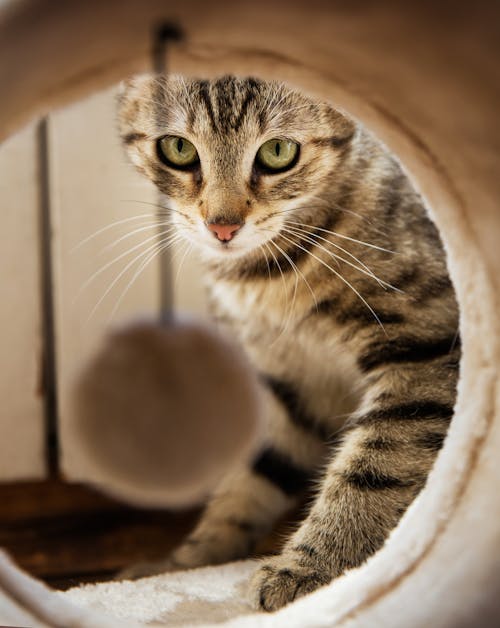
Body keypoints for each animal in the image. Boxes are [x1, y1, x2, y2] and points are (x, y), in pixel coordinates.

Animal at [116, 72, 458, 608]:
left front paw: (314, 571)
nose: (222, 226)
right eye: (177, 148)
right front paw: (186, 563)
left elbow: (375, 467)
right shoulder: (290, 384)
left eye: (278, 152)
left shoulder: (423, 349)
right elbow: (252, 474)